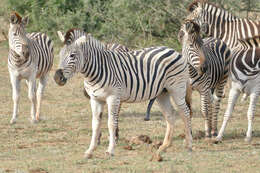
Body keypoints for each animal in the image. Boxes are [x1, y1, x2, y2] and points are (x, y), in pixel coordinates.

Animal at [53, 28, 192, 159]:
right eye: (60, 54)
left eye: (72, 55)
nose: (57, 77)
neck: (96, 70)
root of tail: (172, 49)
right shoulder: (95, 99)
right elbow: (95, 124)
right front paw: (90, 151)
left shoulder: (113, 97)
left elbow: (111, 123)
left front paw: (110, 150)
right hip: (162, 93)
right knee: (170, 115)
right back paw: (164, 147)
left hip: (177, 88)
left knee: (185, 112)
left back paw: (188, 144)